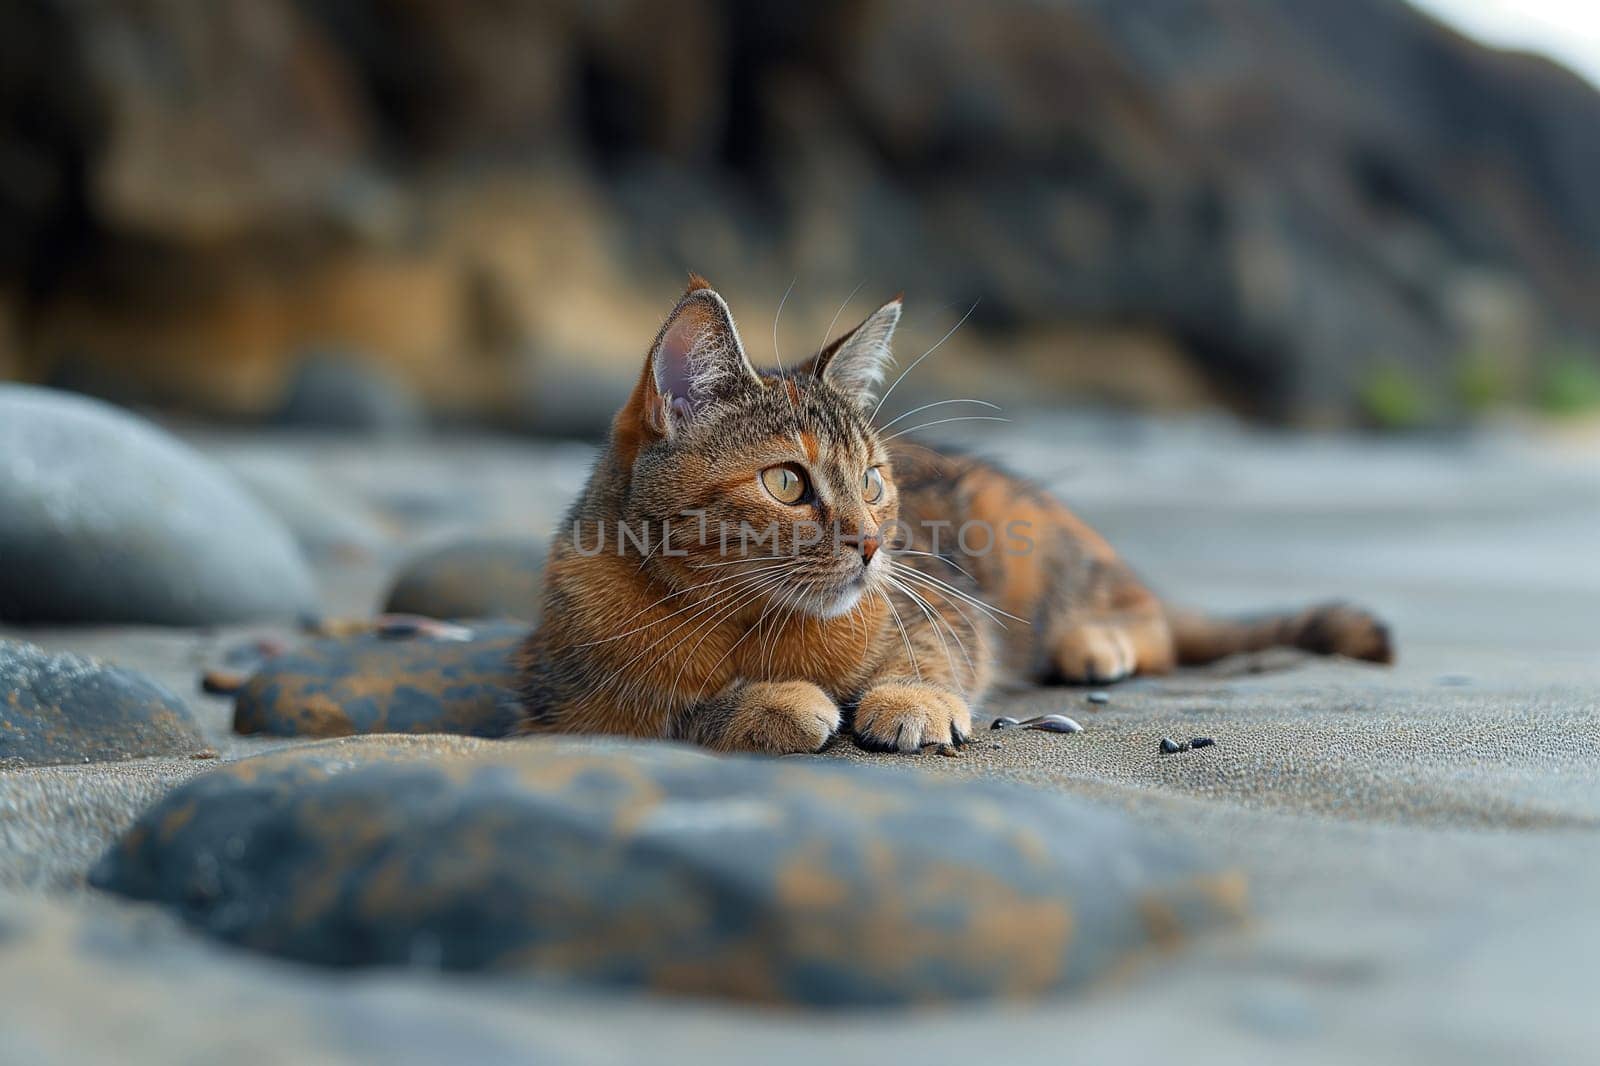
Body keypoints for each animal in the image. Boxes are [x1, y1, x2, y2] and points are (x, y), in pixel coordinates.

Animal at [518, 278, 1395, 752]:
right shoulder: (562, 706)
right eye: (789, 484)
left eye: (872, 479)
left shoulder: (938, 604)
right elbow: (667, 717)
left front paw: (914, 698)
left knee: (1149, 619)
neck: (746, 622)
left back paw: (1094, 642)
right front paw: (770, 704)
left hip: (1032, 542)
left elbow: (940, 653)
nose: (873, 543)